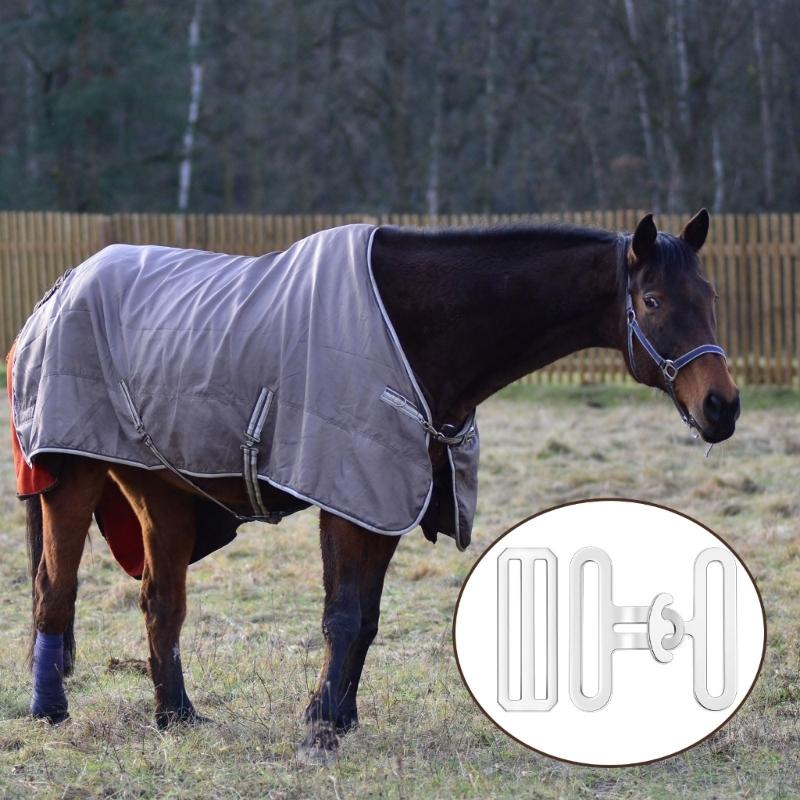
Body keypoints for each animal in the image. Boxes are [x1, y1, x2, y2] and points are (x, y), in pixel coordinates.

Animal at [10, 209, 739, 759]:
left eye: (710, 299)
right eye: (652, 301)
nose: (722, 408)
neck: (414, 329)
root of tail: (54, 296)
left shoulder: (389, 495)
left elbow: (365, 618)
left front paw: (336, 715)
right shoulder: (350, 494)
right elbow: (342, 613)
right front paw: (321, 728)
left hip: (161, 493)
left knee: (160, 602)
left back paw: (177, 714)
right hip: (73, 477)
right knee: (54, 587)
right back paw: (50, 708)